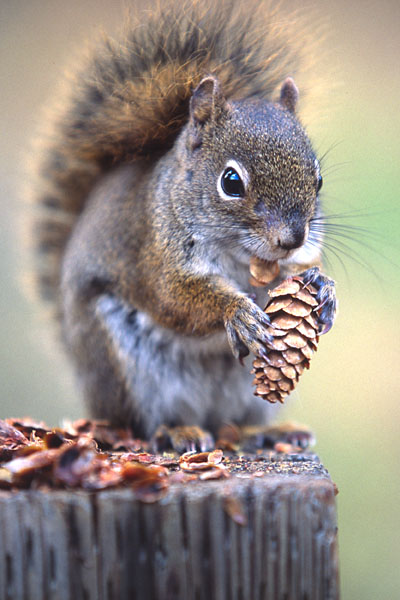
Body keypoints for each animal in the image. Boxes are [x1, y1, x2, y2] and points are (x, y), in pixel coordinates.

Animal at [32, 0, 338, 450]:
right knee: (143, 423)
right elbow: (175, 298)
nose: (292, 239)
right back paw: (178, 432)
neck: (240, 256)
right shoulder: (156, 254)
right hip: (127, 368)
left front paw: (322, 284)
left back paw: (269, 432)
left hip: (244, 396)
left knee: (237, 421)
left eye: (318, 180)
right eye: (231, 182)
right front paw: (237, 311)